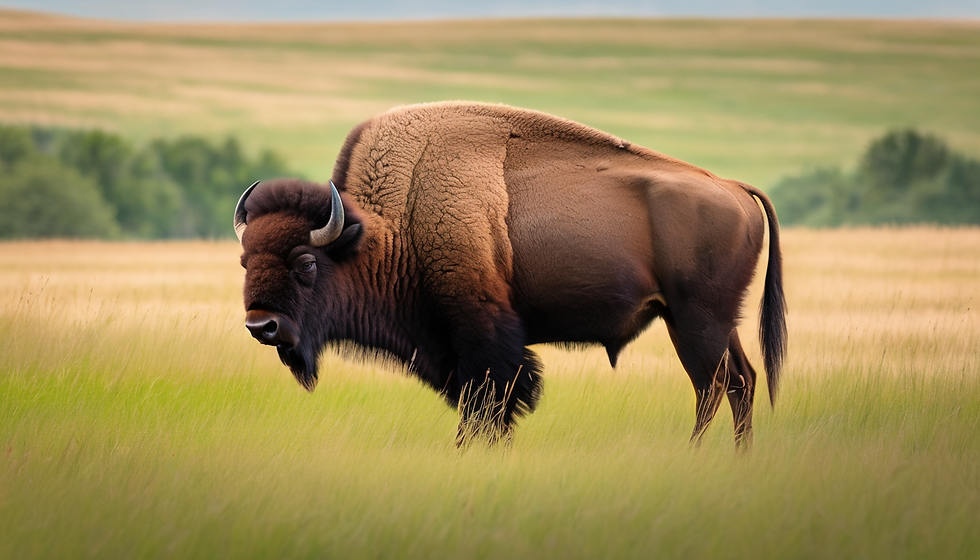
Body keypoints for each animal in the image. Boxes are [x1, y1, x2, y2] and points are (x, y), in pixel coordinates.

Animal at [235, 102, 786, 448]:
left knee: (715, 384)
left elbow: (489, 402)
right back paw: (739, 457)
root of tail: (734, 187)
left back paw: (695, 454)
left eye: (307, 263)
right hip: (714, 321)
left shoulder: (480, 334)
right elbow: (484, 407)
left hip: (695, 321)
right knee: (742, 381)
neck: (387, 228)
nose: (261, 326)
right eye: (244, 261)